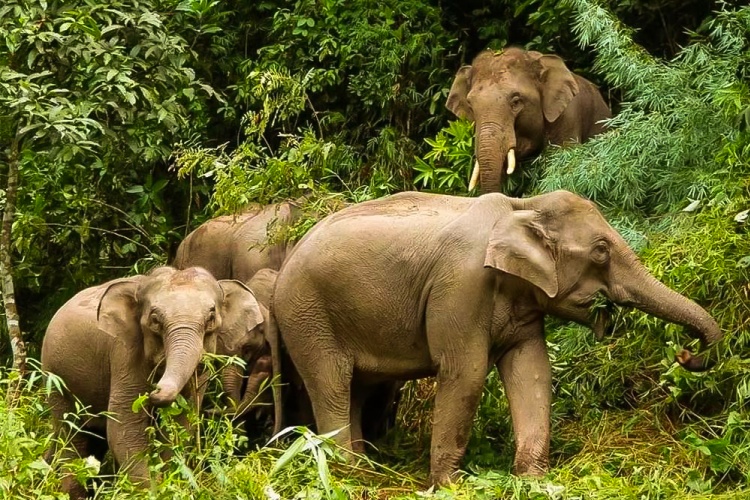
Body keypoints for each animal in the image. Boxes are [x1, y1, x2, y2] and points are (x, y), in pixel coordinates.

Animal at [41, 266, 264, 496]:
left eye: (211, 316)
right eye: (155, 319)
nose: (155, 391)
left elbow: (181, 424)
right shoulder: (125, 352)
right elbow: (124, 427)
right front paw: (154, 490)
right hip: (56, 378)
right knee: (71, 435)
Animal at [270, 190, 724, 484]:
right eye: (600, 251)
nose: (685, 354)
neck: (524, 206)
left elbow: (532, 371)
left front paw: (534, 481)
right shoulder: (461, 286)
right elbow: (466, 374)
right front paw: (449, 486)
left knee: (356, 391)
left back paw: (363, 471)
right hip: (308, 316)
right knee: (332, 386)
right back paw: (345, 476)